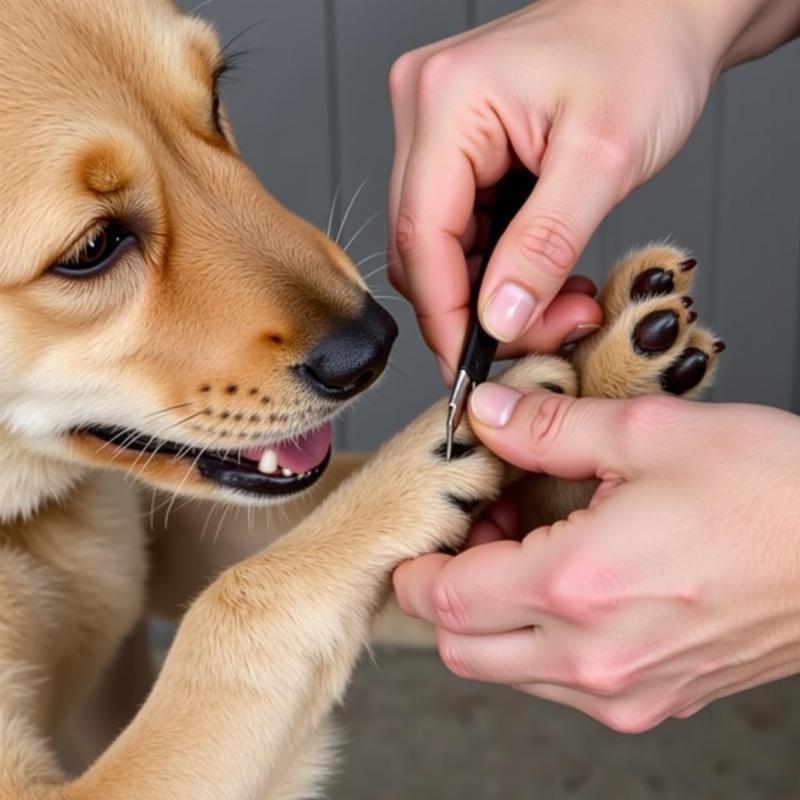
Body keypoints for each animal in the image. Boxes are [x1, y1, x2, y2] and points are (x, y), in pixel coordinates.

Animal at [0, 3, 724, 796]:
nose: (371, 348)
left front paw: (607, 382)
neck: (28, 524)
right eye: (91, 248)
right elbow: (233, 606)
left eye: (217, 95)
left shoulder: (187, 540)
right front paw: (411, 478)